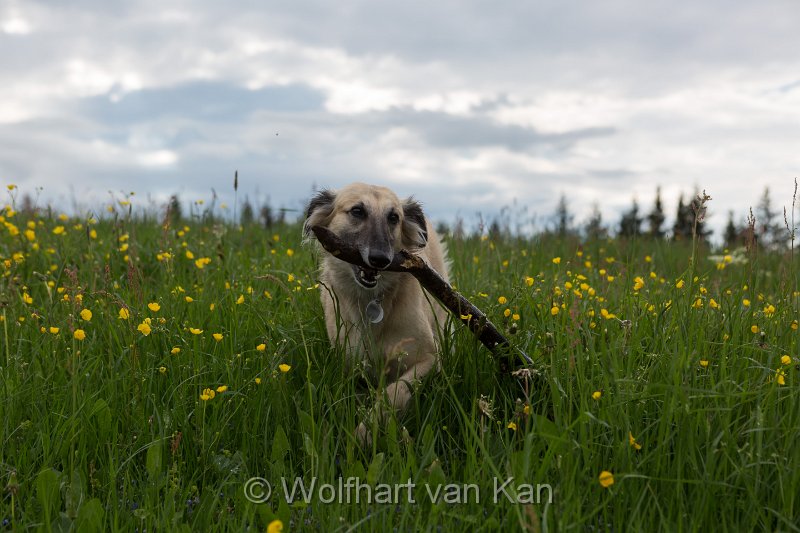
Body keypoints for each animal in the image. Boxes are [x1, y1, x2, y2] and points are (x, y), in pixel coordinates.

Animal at [304, 181, 450, 442]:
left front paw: (363, 432)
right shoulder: (350, 362)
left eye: (394, 217)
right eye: (357, 211)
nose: (380, 259)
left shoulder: (430, 358)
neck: (372, 300)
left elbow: (395, 392)